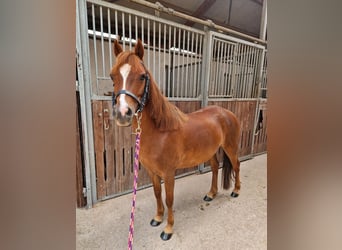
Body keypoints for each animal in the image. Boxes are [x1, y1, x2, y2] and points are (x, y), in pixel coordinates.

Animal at [110, 40, 240, 241]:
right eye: (112, 76)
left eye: (142, 76)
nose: (123, 114)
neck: (160, 131)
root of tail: (226, 113)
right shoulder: (153, 172)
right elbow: (157, 194)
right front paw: (157, 218)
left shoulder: (169, 173)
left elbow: (169, 199)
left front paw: (168, 229)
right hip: (210, 151)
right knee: (214, 168)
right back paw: (211, 194)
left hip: (230, 147)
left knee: (236, 165)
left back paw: (236, 191)